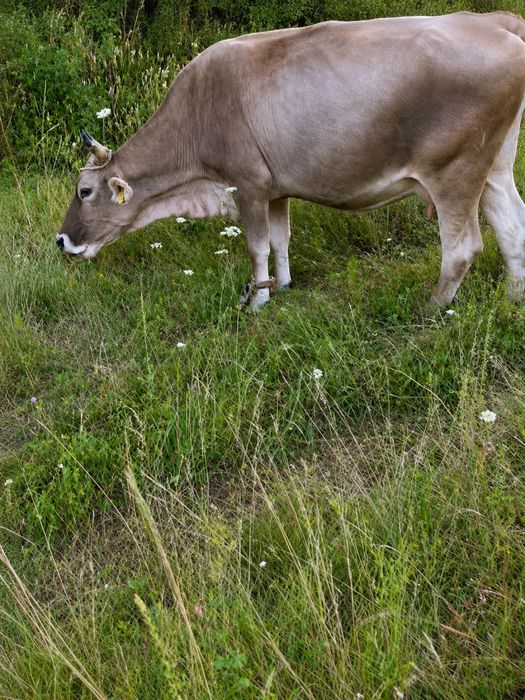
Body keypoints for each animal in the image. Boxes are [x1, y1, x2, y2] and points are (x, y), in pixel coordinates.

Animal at [57, 12, 525, 310]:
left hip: (455, 170)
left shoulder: (247, 183)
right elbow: (280, 240)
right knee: (513, 228)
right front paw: (281, 285)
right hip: (495, 169)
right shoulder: (275, 188)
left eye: (84, 191)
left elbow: (256, 244)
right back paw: (511, 300)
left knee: (463, 247)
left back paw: (431, 309)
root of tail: (494, 20)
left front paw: (258, 299)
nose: (61, 241)